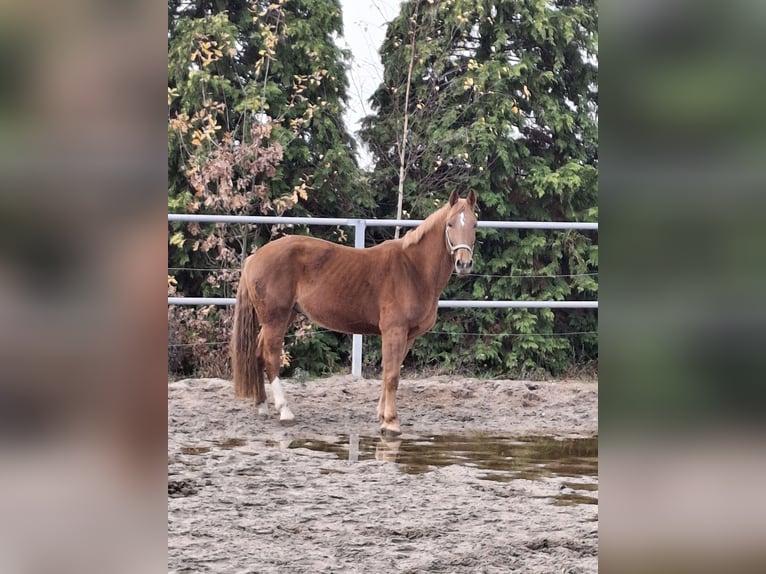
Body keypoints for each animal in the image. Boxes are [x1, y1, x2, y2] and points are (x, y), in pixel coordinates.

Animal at [231, 189, 478, 436]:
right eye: (450, 224)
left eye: (474, 224)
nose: (463, 264)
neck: (413, 269)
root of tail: (254, 257)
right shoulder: (394, 331)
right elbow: (392, 375)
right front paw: (391, 422)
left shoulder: (409, 336)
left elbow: (389, 372)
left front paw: (382, 415)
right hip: (275, 319)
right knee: (270, 357)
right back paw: (285, 411)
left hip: (282, 316)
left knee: (258, 354)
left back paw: (262, 406)